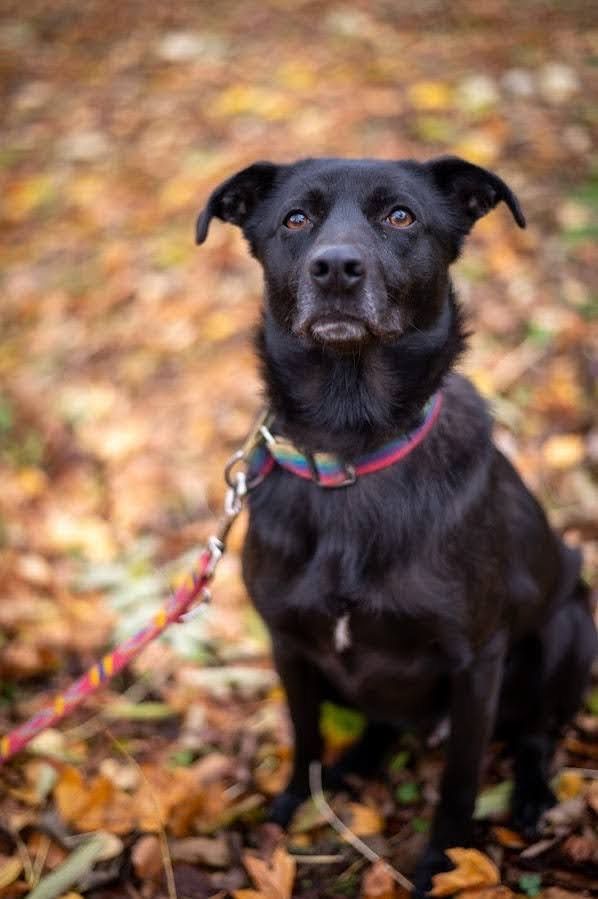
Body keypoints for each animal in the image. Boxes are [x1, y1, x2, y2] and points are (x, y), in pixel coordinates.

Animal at [198, 158, 598, 888]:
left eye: (401, 216)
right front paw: (297, 804)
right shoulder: (288, 644)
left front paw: (444, 861)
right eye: (295, 219)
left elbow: (461, 780)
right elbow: (305, 735)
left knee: (535, 734)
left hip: (570, 627)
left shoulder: (476, 662)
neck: (351, 451)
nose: (335, 268)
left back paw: (531, 796)